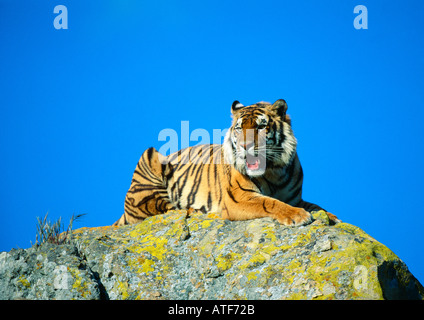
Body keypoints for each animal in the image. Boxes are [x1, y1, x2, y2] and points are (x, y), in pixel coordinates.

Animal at [113, 99, 342, 226]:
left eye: (261, 126)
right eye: (239, 128)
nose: (244, 146)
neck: (274, 172)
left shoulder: (295, 197)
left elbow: (316, 205)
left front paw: (333, 217)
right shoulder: (239, 198)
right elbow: (270, 202)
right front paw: (297, 216)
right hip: (149, 157)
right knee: (162, 209)